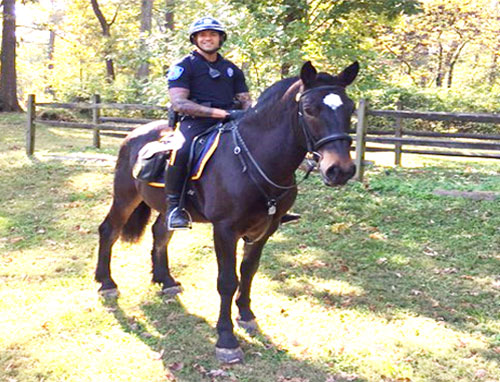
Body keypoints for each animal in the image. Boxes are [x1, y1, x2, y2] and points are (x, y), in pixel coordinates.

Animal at [94, 60, 360, 364]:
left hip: (167, 206)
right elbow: (227, 281)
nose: (341, 170)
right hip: (125, 197)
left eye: (350, 108)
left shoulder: (264, 230)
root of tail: (133, 135)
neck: (254, 159)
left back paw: (166, 280)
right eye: (309, 109)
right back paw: (106, 283)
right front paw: (226, 339)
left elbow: (248, 272)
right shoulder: (225, 230)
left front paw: (246, 315)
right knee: (109, 230)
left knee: (160, 232)